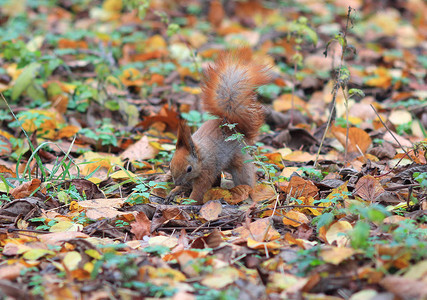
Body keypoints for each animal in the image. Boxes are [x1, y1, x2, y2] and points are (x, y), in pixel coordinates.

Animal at [167, 48, 270, 205]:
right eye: (170, 164)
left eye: (189, 168)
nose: (176, 182)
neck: (200, 155)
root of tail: (237, 131)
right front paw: (174, 191)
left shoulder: (207, 170)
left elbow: (200, 189)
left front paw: (189, 202)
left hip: (240, 162)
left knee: (245, 179)